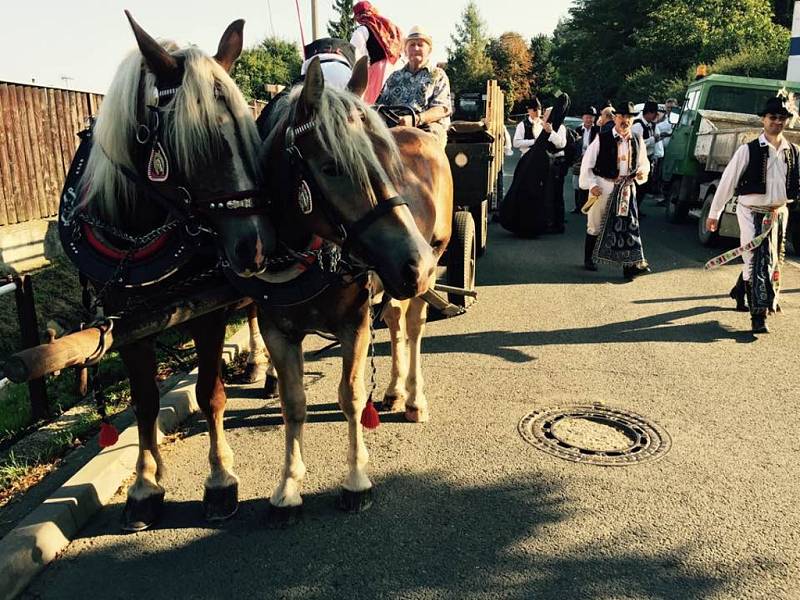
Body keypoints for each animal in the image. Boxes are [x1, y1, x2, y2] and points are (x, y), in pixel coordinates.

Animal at [72, 12, 278, 528]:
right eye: (200, 143)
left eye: (250, 136)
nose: (257, 247)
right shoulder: (126, 321)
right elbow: (145, 402)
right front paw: (145, 485)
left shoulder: (205, 309)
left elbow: (209, 392)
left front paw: (220, 479)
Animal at [231, 57, 454, 520]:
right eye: (332, 166)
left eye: (386, 159)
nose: (419, 263)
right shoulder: (278, 330)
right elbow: (293, 403)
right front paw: (289, 485)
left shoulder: (355, 322)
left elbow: (350, 397)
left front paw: (356, 480)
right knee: (394, 320)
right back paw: (392, 391)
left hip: (429, 259)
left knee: (414, 328)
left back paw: (413, 398)